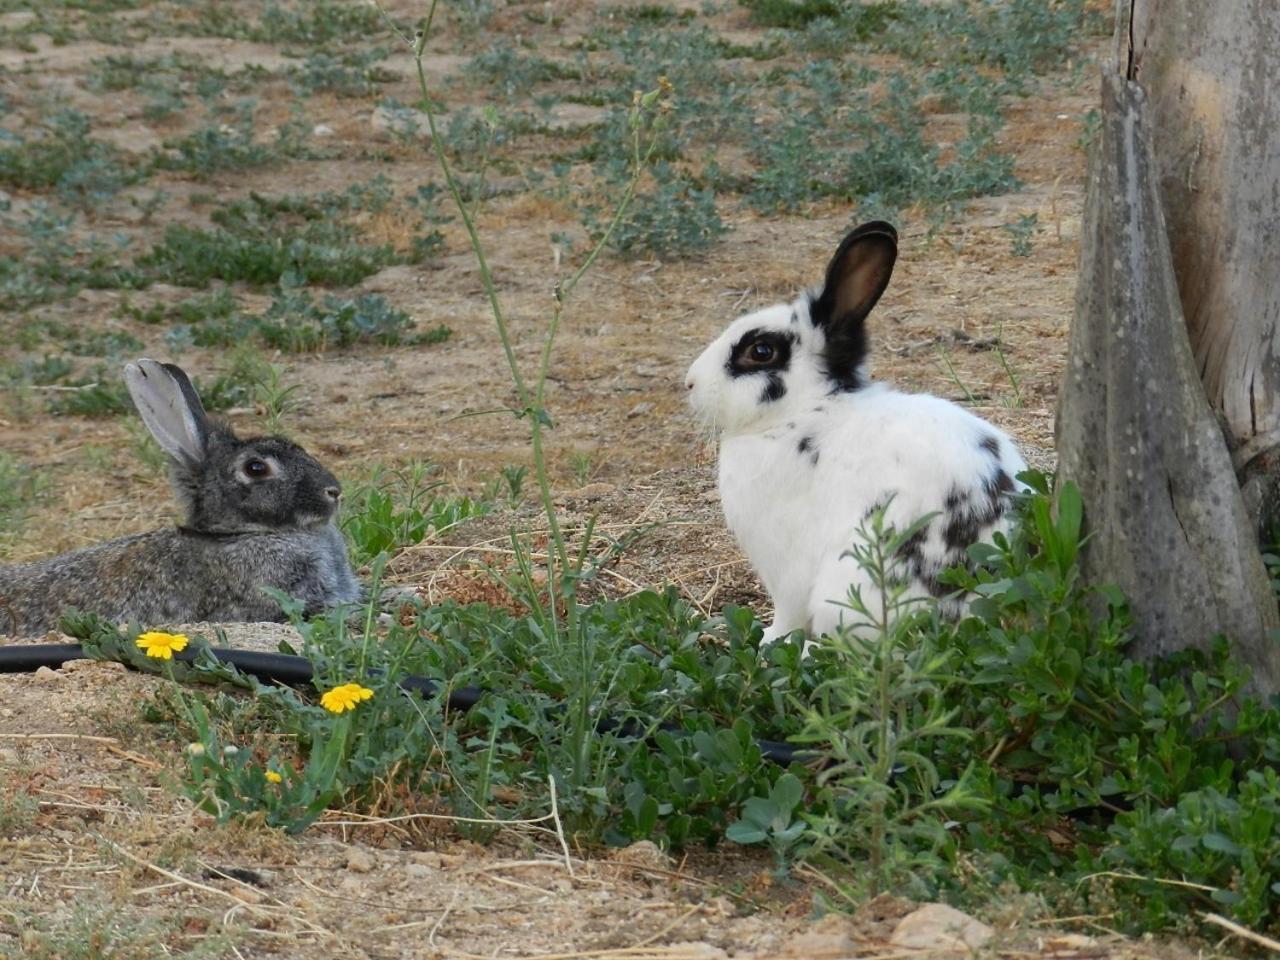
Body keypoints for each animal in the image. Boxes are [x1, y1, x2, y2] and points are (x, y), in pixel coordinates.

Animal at [686, 224, 1024, 647]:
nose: (690, 384)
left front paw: (767, 642)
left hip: (848, 586)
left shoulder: (786, 569)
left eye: (760, 351)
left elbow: (786, 617)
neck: (806, 412)